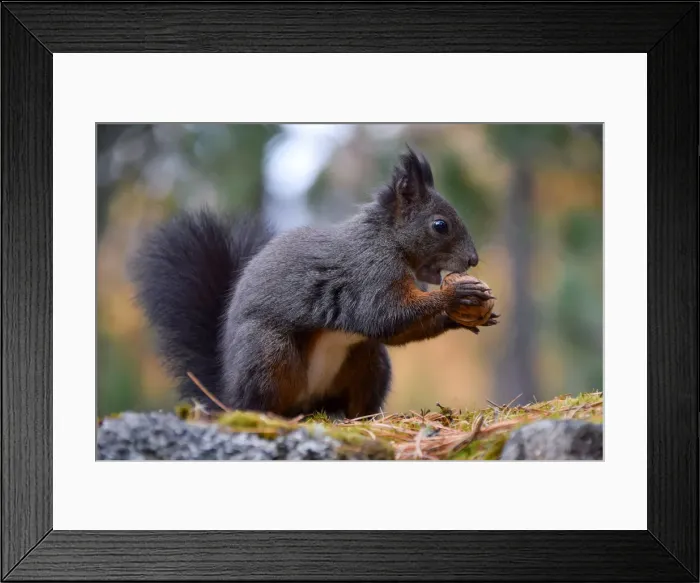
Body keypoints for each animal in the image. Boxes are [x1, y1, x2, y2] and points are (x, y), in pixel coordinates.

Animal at [129, 147, 497, 419]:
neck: (386, 239)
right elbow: (384, 316)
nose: (473, 260)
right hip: (269, 354)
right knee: (262, 400)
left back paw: (354, 416)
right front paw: (458, 293)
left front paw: (464, 315)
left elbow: (397, 330)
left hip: (369, 362)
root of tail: (226, 396)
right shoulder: (369, 274)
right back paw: (268, 414)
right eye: (440, 225)